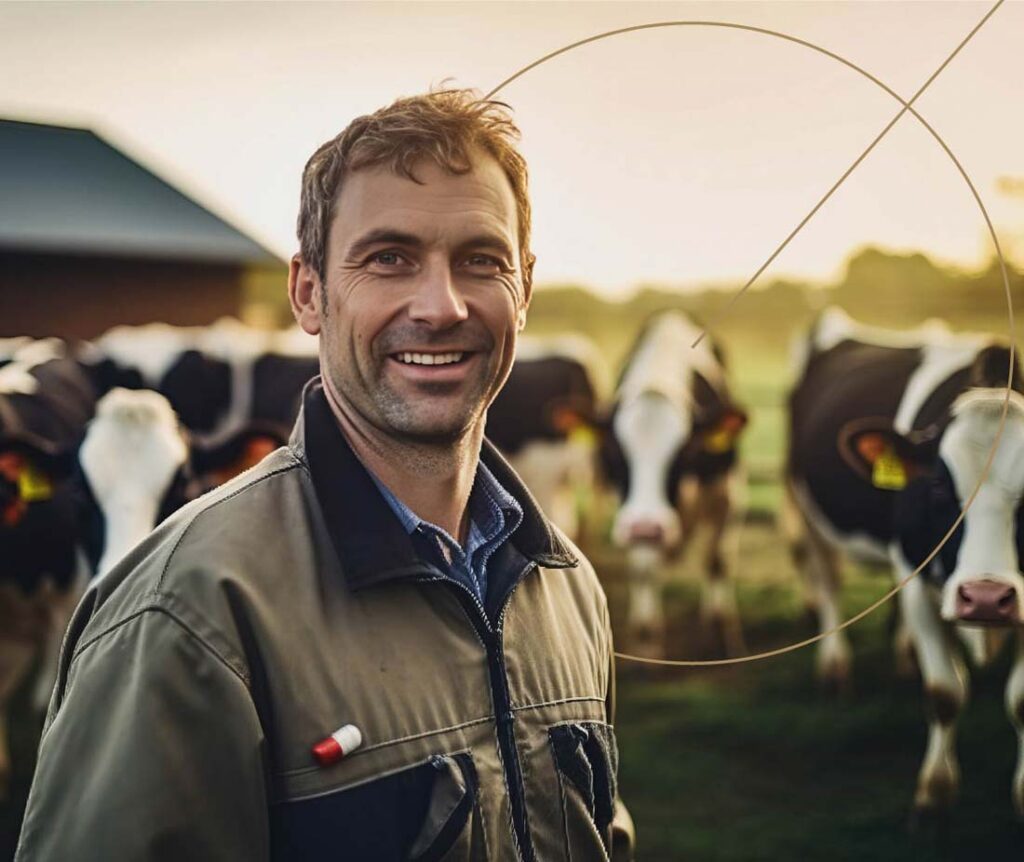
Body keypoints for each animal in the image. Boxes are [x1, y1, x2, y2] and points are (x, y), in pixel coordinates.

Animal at [598, 313, 753, 655]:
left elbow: (717, 561)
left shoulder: (728, 493)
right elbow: (644, 571)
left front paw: (722, 631)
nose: (646, 529)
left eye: (686, 453)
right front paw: (646, 636)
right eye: (615, 453)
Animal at [782, 305, 1024, 814]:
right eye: (936, 485)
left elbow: (1019, 701)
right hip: (809, 513)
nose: (986, 598)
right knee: (827, 582)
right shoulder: (916, 583)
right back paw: (835, 670)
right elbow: (944, 692)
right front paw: (935, 792)